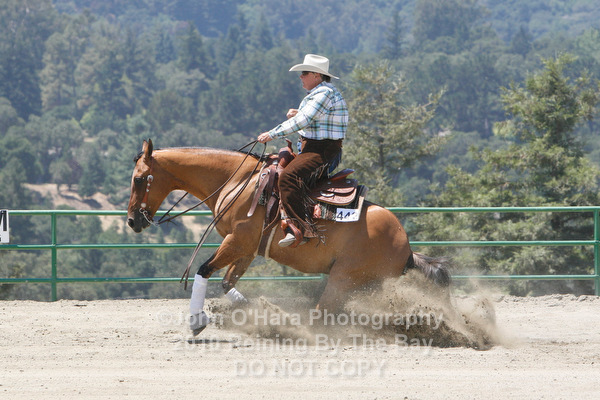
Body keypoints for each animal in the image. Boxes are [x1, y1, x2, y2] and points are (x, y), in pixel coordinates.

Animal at [127, 139, 450, 335]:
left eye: (139, 179)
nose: (132, 221)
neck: (237, 181)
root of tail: (406, 248)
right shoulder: (247, 248)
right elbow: (228, 282)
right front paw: (258, 312)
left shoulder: (236, 241)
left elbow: (203, 270)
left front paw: (196, 321)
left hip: (344, 279)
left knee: (323, 313)